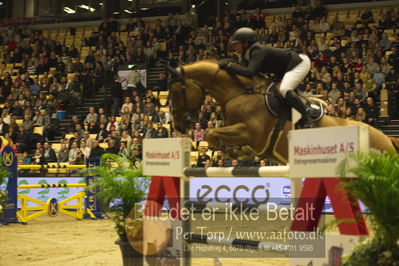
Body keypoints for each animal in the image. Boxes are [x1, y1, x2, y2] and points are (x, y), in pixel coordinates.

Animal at [168, 60, 396, 164]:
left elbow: (210, 133)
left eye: (176, 91)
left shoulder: (251, 133)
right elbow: (214, 135)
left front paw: (237, 152)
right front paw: (237, 151)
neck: (240, 93)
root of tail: (388, 139)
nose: (179, 126)